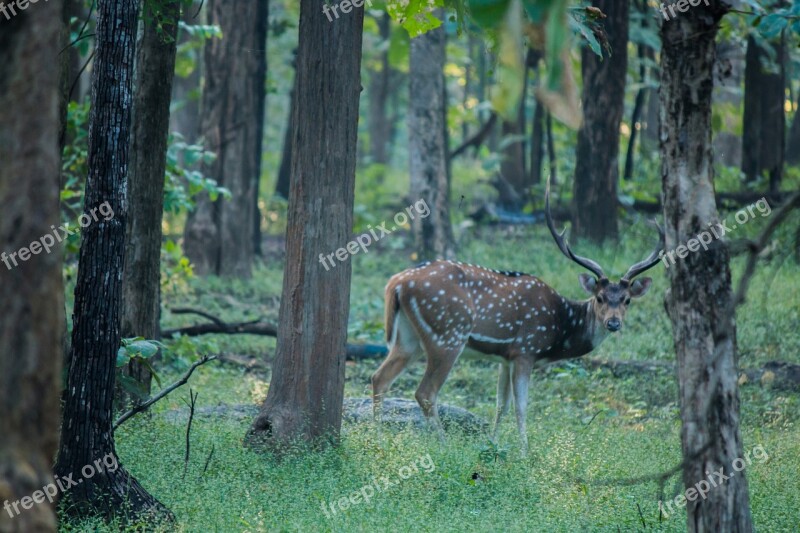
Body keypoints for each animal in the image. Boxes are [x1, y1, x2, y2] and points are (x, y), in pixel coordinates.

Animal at [372, 181, 664, 450]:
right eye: (600, 297)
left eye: (627, 300)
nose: (613, 323)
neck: (561, 328)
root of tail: (396, 283)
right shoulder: (526, 348)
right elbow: (521, 406)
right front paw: (525, 451)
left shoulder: (506, 357)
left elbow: (501, 403)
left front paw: (492, 443)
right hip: (447, 335)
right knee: (425, 392)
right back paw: (444, 445)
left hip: (408, 338)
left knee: (379, 377)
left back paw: (377, 438)